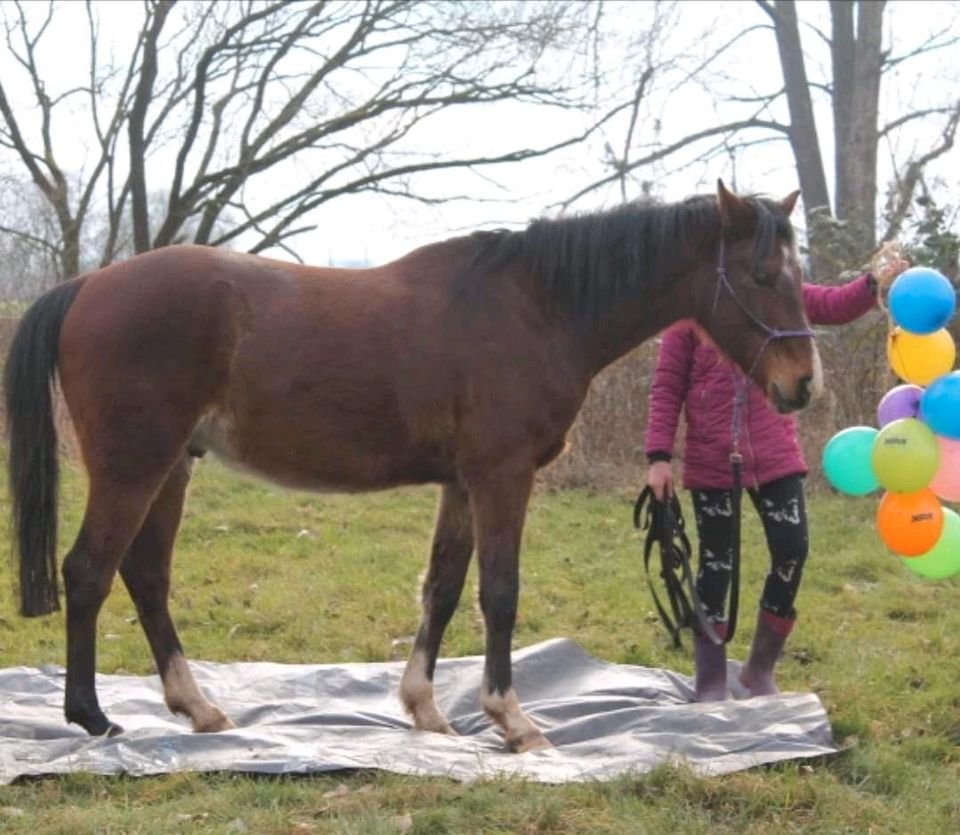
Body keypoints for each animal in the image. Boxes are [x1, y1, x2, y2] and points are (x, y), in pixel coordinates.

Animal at [5, 180, 816, 756]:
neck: (540, 306)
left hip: (171, 468)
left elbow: (445, 589)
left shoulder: (461, 483)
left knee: (145, 575)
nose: (802, 385)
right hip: (133, 467)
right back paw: (93, 718)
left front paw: (427, 709)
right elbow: (499, 593)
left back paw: (197, 708)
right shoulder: (501, 476)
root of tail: (88, 286)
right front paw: (513, 719)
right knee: (89, 571)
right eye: (762, 273)